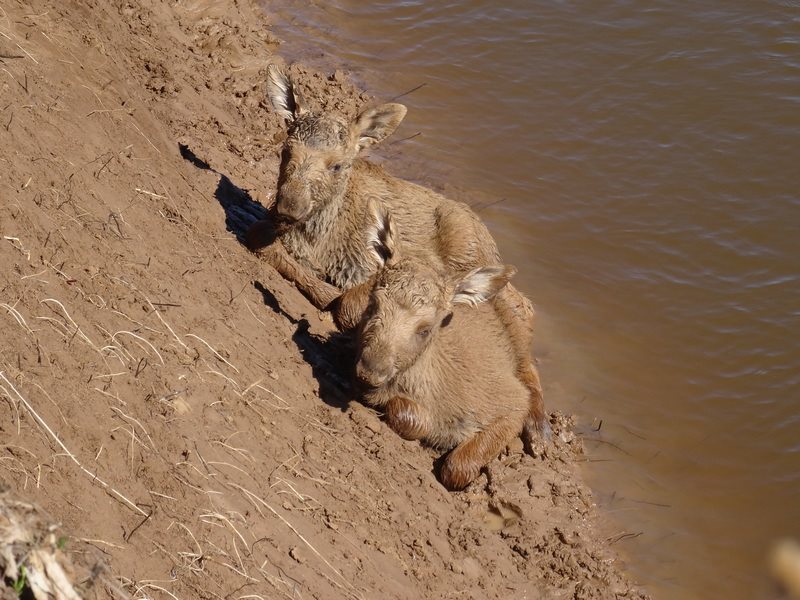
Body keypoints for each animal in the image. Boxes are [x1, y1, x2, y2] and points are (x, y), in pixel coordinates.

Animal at [354, 209, 532, 490]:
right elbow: (407, 415)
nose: (370, 371)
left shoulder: (515, 402)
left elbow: (456, 467)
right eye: (373, 303)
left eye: (426, 328)